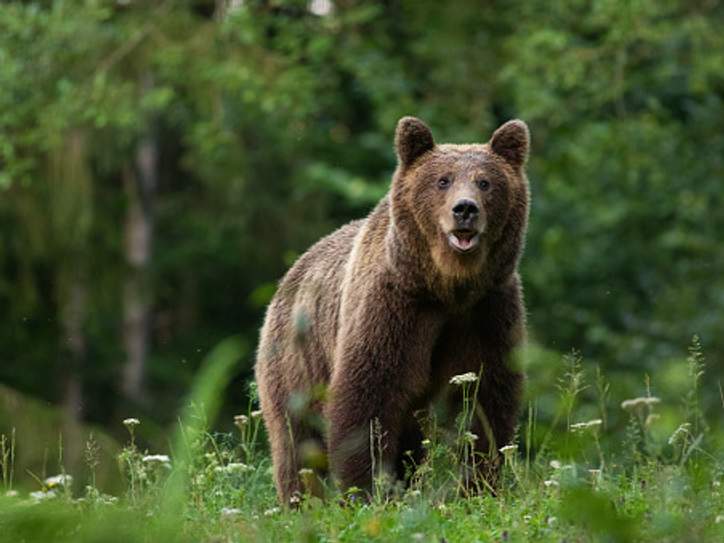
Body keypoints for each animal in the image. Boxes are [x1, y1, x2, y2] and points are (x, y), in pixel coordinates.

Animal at [258, 117, 528, 504]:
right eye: (442, 180)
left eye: (485, 182)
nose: (465, 209)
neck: (447, 287)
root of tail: (291, 273)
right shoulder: (394, 307)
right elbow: (368, 396)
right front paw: (365, 490)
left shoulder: (487, 310)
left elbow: (486, 399)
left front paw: (479, 485)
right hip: (296, 362)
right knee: (297, 441)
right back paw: (301, 501)